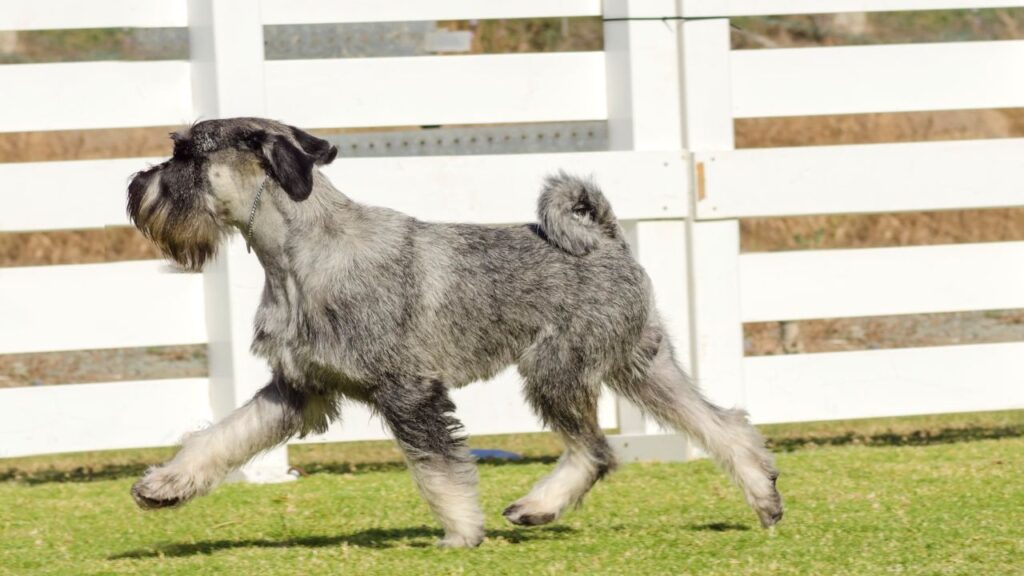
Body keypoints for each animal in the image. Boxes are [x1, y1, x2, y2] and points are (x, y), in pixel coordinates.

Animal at [128, 117, 782, 545]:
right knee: (721, 424)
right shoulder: (298, 389)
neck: (297, 257)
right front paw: (164, 485)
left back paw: (537, 507)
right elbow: (223, 437)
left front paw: (463, 534)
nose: (135, 185)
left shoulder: (408, 391)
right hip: (640, 366)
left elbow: (437, 469)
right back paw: (763, 496)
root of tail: (608, 240)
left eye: (187, 154)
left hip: (556, 369)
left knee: (595, 451)